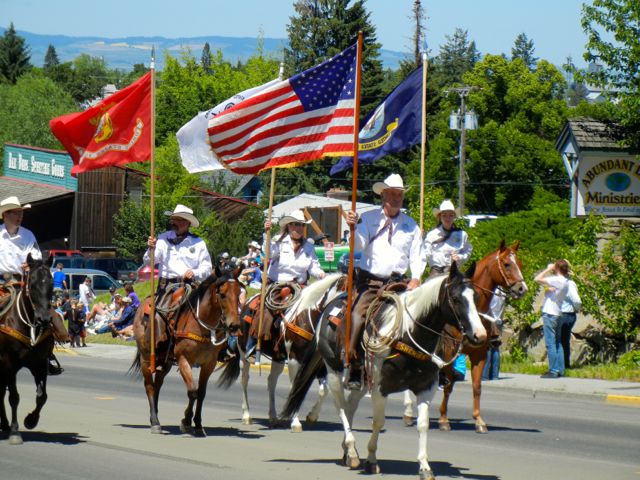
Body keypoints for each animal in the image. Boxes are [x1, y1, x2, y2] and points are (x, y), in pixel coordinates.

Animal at [0, 255, 68, 446]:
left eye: (52, 283)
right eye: (32, 284)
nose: (44, 318)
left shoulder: (39, 364)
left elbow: (42, 396)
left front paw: (31, 420)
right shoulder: (9, 364)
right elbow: (14, 397)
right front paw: (15, 432)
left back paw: (4, 424)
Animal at [130, 268, 242, 436]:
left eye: (240, 292)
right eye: (222, 294)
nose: (234, 325)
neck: (202, 326)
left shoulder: (209, 363)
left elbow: (201, 393)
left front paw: (198, 424)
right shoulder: (184, 360)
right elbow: (192, 391)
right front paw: (186, 422)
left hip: (166, 361)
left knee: (158, 384)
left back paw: (154, 416)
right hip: (146, 357)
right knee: (149, 386)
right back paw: (155, 422)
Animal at [216, 274, 348, 432]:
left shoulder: (318, 363)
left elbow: (324, 389)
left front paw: (312, 416)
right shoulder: (294, 359)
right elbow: (295, 388)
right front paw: (295, 422)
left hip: (278, 357)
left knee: (271, 381)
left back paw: (273, 417)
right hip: (243, 354)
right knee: (244, 380)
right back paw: (247, 415)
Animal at [280, 262, 484, 480]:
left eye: (476, 298)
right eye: (456, 298)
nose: (480, 335)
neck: (408, 334)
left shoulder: (426, 388)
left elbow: (423, 425)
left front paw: (425, 467)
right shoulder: (380, 388)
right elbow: (378, 422)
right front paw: (371, 461)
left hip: (360, 381)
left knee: (350, 405)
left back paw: (347, 451)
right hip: (334, 372)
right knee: (341, 407)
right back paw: (351, 451)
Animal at [432, 242, 528, 434]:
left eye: (519, 264)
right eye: (507, 264)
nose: (522, 289)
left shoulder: (480, 354)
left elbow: (477, 387)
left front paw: (479, 420)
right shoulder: (449, 353)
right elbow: (448, 385)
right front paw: (443, 419)